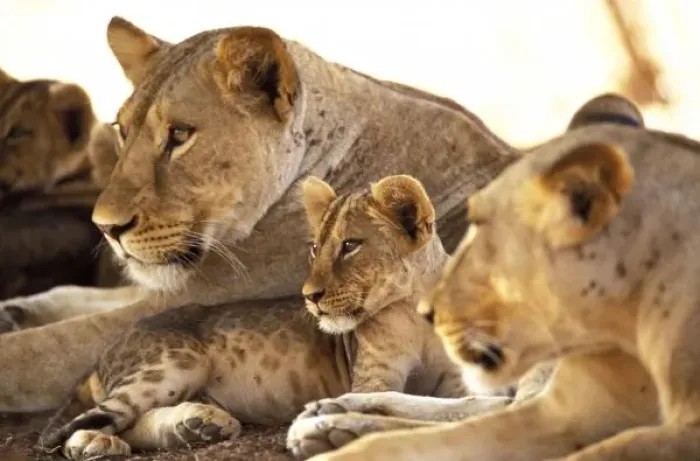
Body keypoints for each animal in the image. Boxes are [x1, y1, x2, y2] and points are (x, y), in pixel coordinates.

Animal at [0, 16, 522, 412]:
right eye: (121, 130)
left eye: (180, 135)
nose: (106, 227)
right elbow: (84, 296)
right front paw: (17, 309)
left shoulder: (201, 299)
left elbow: (42, 349)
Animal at [38, 175, 512, 459]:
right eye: (315, 248)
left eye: (350, 246)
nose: (309, 297)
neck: (416, 316)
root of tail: (105, 352)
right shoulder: (373, 377)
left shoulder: (457, 383)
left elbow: (449, 408)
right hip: (172, 363)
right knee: (87, 422)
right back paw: (95, 442)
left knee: (135, 422)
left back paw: (196, 426)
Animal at [287, 105, 700, 460]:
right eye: (315, 249)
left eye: (350, 247)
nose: (435, 314)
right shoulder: (563, 408)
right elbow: (453, 413)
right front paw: (336, 415)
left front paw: (336, 430)